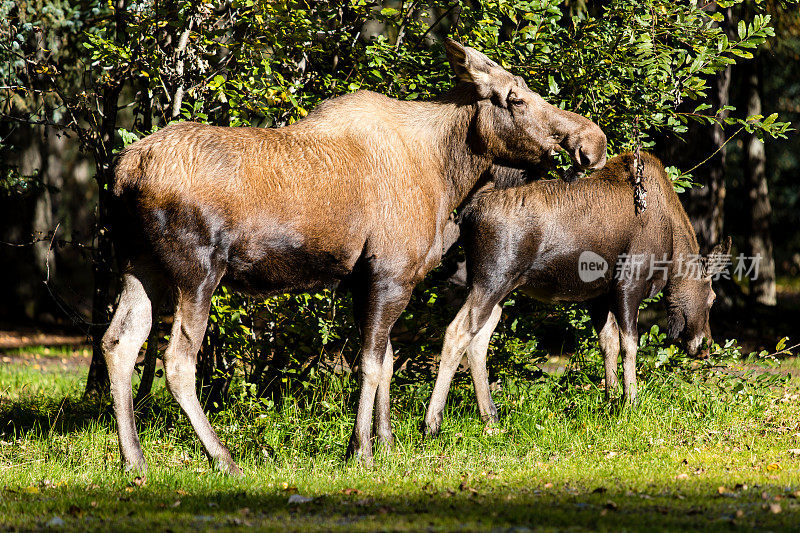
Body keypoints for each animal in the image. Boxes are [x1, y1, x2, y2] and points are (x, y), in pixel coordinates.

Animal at [103, 37, 604, 472]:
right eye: (515, 98)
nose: (592, 142)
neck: (449, 176)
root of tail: (125, 173)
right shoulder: (391, 274)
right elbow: (369, 363)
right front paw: (361, 448)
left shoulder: (363, 282)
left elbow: (386, 360)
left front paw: (385, 440)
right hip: (197, 272)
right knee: (176, 362)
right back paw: (222, 457)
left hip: (139, 266)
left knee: (118, 343)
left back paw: (134, 459)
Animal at [424, 154, 732, 436]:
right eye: (712, 298)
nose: (706, 344)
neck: (671, 252)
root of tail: (467, 213)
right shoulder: (628, 283)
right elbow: (630, 344)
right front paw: (631, 401)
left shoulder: (599, 296)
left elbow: (609, 344)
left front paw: (611, 399)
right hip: (492, 279)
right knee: (456, 332)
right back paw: (432, 423)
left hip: (500, 289)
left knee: (478, 342)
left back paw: (490, 418)